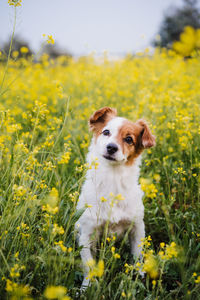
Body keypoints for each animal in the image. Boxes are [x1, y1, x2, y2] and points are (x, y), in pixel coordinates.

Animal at [76, 106, 155, 288]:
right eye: (106, 132)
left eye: (129, 139)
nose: (111, 147)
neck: (113, 179)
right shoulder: (87, 233)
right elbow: (88, 264)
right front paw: (86, 287)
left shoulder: (137, 227)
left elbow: (137, 256)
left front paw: (138, 277)